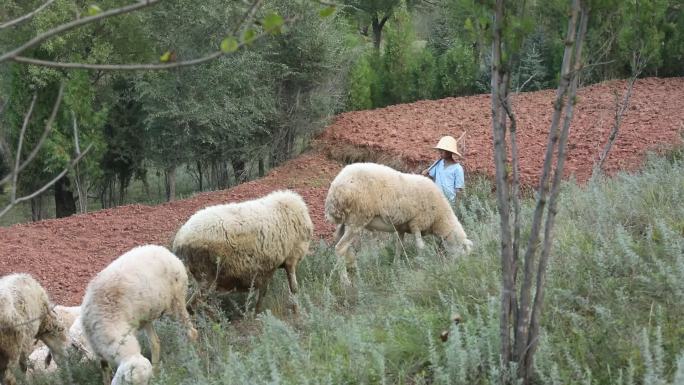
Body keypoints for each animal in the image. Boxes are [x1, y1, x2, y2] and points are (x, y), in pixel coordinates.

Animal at [81, 244, 198, 384]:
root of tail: (166, 251)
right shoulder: (97, 349)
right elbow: (105, 370)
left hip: (177, 300)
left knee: (191, 331)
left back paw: (192, 355)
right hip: (147, 316)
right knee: (155, 343)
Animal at [175, 189, 316, 312]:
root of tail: (179, 240)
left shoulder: (267, 267)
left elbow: (263, 292)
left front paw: (256, 314)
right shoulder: (291, 259)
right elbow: (293, 289)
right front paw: (297, 312)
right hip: (206, 277)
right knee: (191, 307)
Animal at [324, 161, 472, 282]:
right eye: (463, 253)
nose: (462, 268)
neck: (440, 218)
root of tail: (334, 190)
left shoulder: (401, 227)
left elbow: (399, 246)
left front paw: (396, 265)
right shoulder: (416, 223)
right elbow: (420, 246)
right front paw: (422, 264)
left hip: (345, 222)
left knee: (343, 246)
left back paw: (351, 273)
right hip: (357, 219)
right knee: (340, 248)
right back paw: (345, 281)